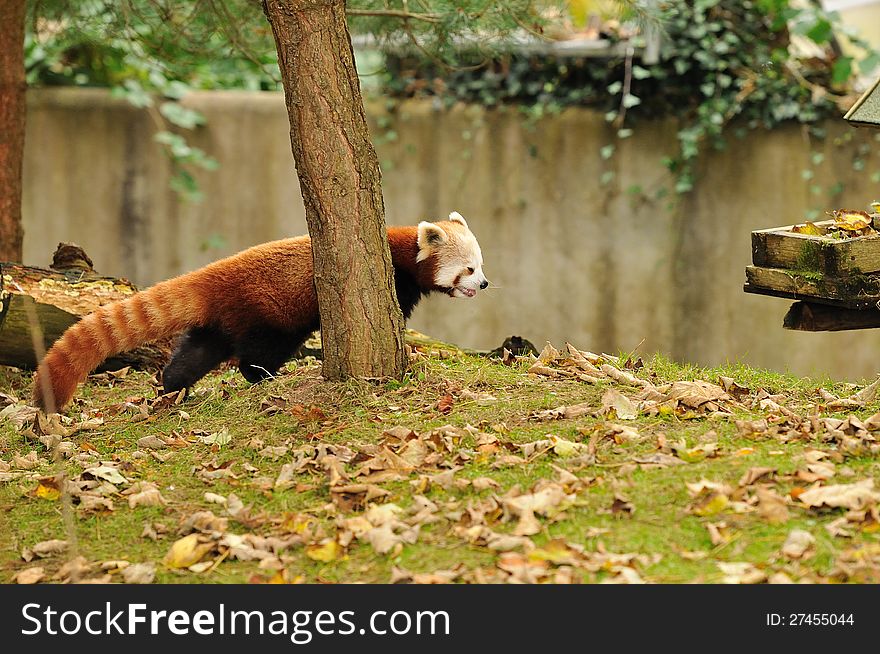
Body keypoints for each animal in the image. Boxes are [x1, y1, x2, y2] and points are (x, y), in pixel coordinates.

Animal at [32, 213, 488, 412]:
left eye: (481, 266)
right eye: (469, 268)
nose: (483, 285)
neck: (401, 249)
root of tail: (212, 277)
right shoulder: (393, 277)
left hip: (217, 324)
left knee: (195, 354)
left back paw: (172, 387)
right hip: (265, 314)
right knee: (256, 354)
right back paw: (265, 377)